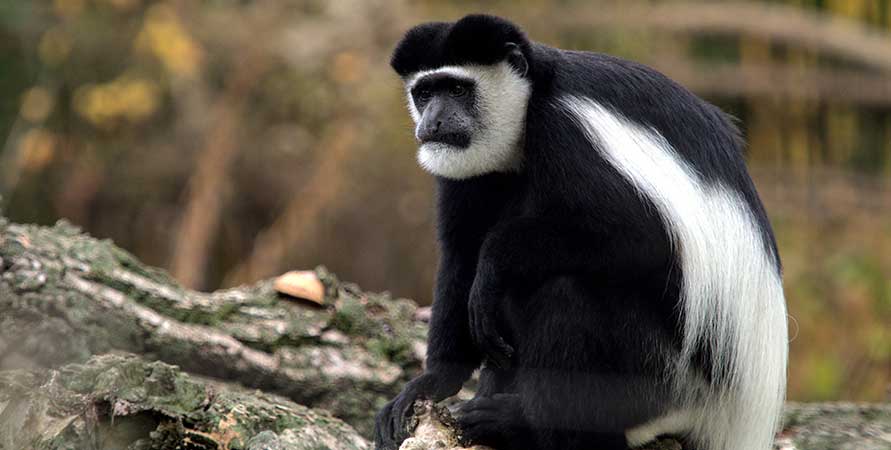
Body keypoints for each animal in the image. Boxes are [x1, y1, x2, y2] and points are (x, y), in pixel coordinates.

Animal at [374, 14, 788, 450]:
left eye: (457, 88)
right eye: (424, 93)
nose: (432, 123)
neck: (531, 102)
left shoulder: (567, 130)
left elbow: (643, 239)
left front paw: (492, 263)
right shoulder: (467, 171)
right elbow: (461, 254)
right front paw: (429, 383)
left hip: (661, 378)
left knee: (566, 296)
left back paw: (521, 423)